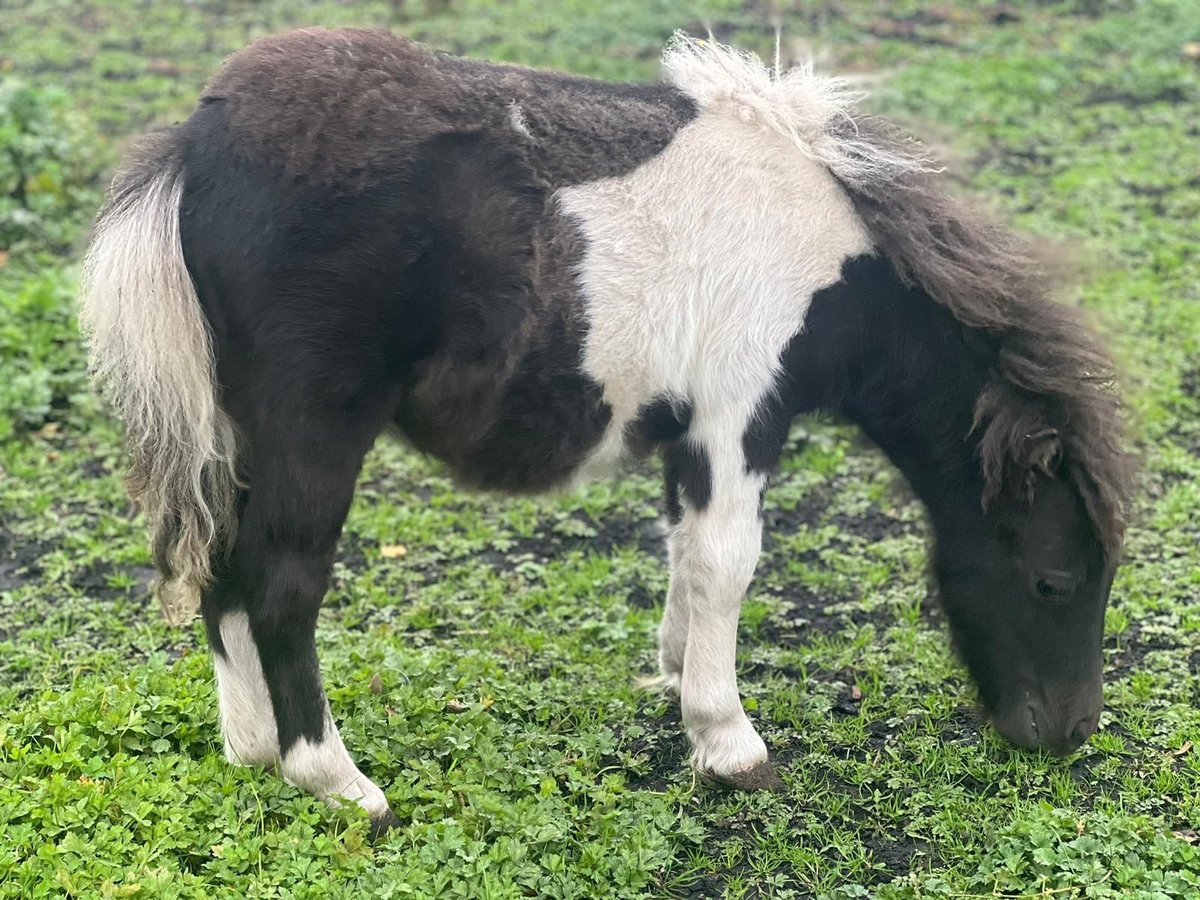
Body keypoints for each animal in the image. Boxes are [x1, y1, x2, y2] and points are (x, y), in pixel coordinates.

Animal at [82, 26, 1132, 830]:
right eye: (1055, 579)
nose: (1070, 734)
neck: (825, 257)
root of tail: (196, 142)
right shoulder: (741, 412)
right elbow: (728, 560)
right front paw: (729, 741)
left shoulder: (691, 429)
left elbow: (684, 548)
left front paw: (671, 680)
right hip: (314, 428)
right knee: (283, 586)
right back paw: (337, 781)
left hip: (236, 431)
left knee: (220, 568)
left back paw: (253, 748)